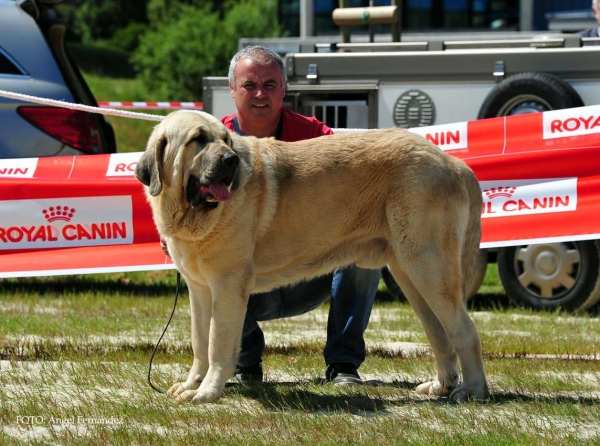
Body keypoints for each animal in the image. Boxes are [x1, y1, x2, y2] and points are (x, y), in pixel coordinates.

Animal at [135, 110, 488, 404]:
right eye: (197, 139)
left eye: (225, 139)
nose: (231, 160)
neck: (192, 214)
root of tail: (456, 164)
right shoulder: (200, 290)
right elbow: (200, 341)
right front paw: (192, 384)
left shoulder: (228, 286)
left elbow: (218, 343)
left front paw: (207, 392)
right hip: (411, 274)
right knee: (439, 332)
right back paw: (441, 385)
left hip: (429, 269)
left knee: (465, 330)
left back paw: (472, 390)